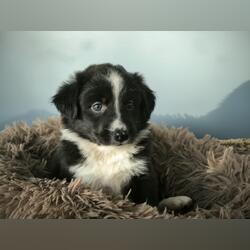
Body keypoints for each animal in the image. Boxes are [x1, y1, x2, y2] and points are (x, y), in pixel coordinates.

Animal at [49, 63, 193, 211]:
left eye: (130, 105)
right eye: (97, 106)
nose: (121, 135)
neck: (108, 152)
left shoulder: (144, 175)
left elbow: (150, 205)